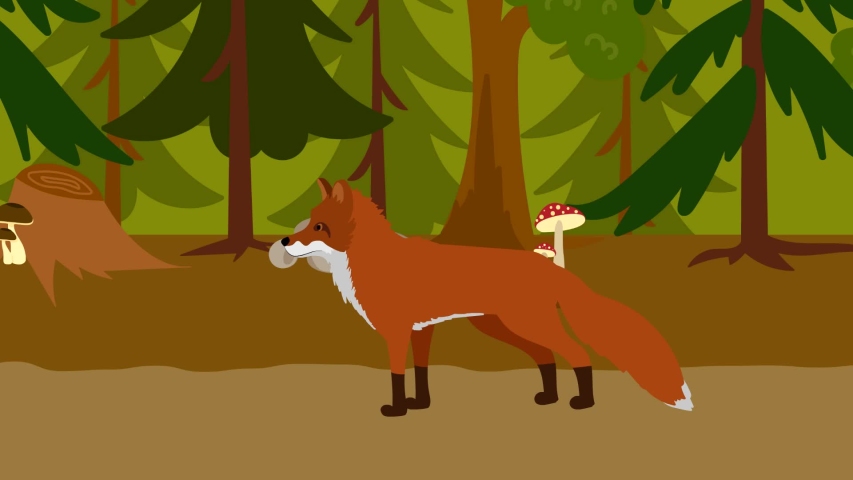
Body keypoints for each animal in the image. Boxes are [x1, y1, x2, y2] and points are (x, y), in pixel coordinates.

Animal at [271, 178, 693, 417]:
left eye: (319, 226)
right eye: (308, 221)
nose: (285, 241)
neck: (377, 261)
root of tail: (548, 267)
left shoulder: (397, 331)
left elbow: (396, 375)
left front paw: (396, 410)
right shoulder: (422, 330)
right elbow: (420, 372)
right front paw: (420, 405)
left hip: (525, 324)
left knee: (577, 354)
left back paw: (582, 403)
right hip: (504, 327)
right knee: (546, 358)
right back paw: (548, 398)